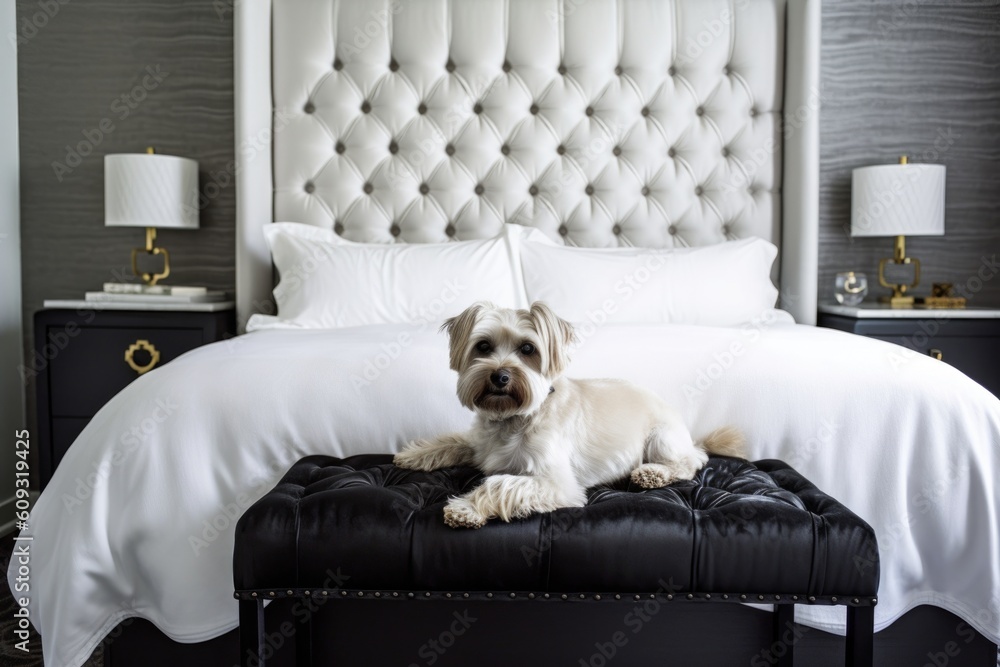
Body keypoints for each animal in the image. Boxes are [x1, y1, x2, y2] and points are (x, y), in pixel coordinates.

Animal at [390, 300, 744, 528]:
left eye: (528, 349)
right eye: (483, 346)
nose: (500, 376)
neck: (514, 418)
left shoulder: (556, 482)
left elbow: (499, 484)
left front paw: (466, 507)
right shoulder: (478, 443)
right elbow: (452, 440)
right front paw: (412, 454)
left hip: (662, 437)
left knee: (692, 460)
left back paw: (651, 472)